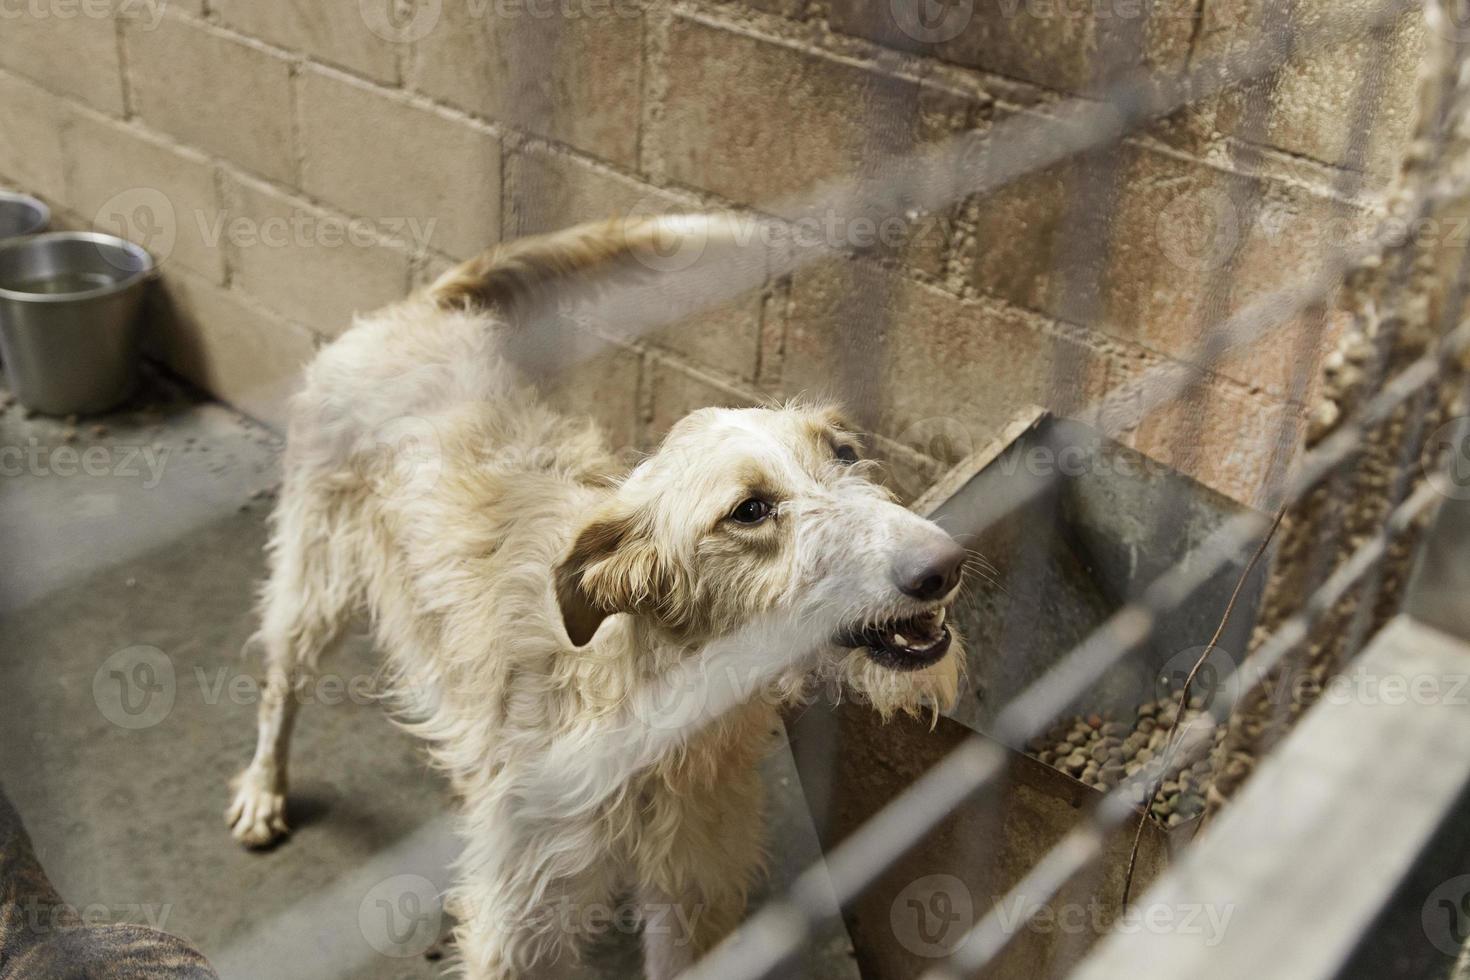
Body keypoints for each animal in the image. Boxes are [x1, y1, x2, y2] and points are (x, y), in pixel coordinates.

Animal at [226, 215, 964, 980]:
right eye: (750, 511)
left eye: (844, 452)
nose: (945, 565)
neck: (643, 692)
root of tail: (421, 309)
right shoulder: (520, 923)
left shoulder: (693, 890)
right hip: (315, 578)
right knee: (281, 683)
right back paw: (262, 789)